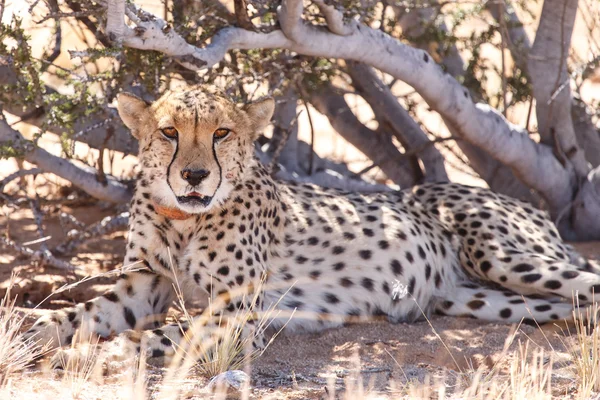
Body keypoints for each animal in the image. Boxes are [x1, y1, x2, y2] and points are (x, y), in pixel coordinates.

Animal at [24, 86, 600, 366]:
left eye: (222, 133)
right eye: (169, 132)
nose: (194, 175)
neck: (185, 218)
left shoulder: (238, 313)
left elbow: (157, 336)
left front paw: (100, 354)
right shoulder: (143, 288)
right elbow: (74, 315)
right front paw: (30, 336)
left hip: (503, 256)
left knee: (588, 283)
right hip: (483, 297)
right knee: (571, 304)